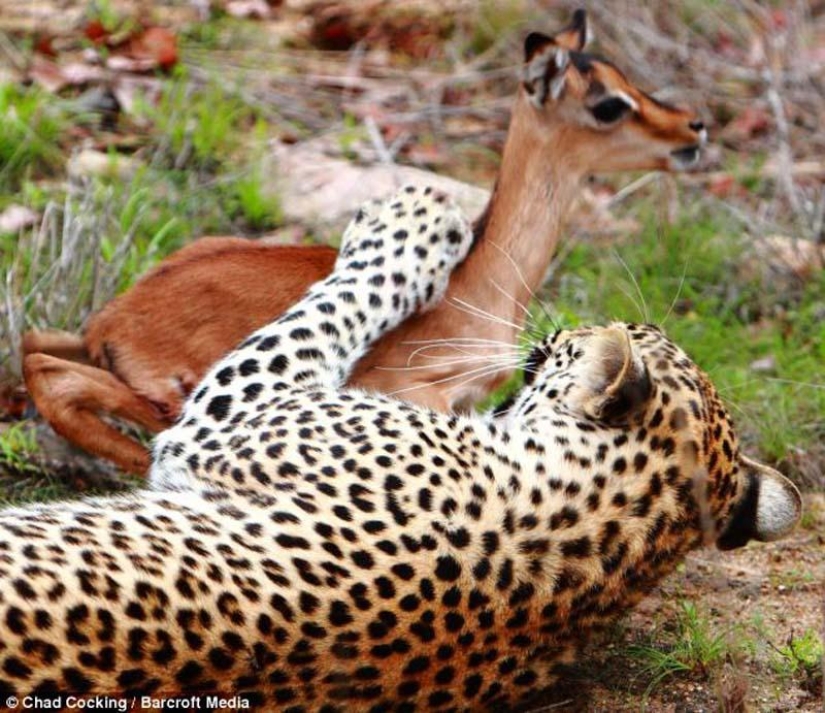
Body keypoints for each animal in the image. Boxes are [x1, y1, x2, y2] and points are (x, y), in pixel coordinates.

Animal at [22, 10, 706, 475]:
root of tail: (112, 321)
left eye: (624, 77)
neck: (483, 284)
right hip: (171, 398)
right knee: (56, 379)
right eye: (608, 104)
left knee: (34, 350)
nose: (694, 127)